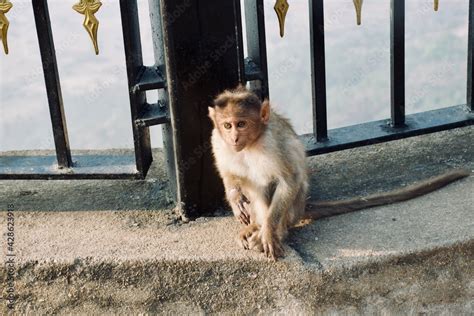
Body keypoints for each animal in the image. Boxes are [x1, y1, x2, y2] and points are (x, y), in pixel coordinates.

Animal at [208, 85, 470, 260]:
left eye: (241, 124)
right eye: (227, 125)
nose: (234, 138)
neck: (251, 144)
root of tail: (302, 208)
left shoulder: (272, 144)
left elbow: (288, 180)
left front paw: (270, 232)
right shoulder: (217, 141)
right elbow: (228, 174)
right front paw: (234, 199)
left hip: (293, 207)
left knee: (269, 185)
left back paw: (270, 231)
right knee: (248, 181)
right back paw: (254, 226)